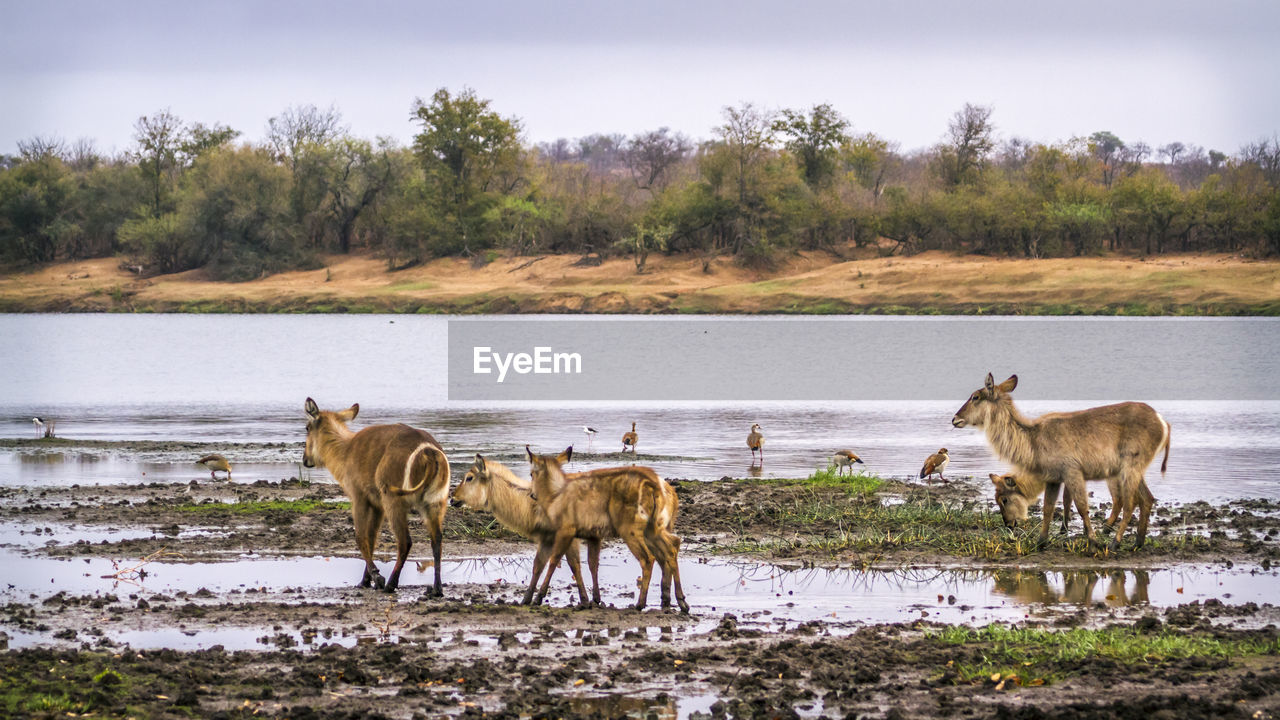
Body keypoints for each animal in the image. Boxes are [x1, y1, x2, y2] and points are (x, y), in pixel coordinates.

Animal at [302, 394, 453, 591]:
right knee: (437, 540)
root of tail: (429, 451)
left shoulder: (359, 497)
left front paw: (376, 577)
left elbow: (360, 537)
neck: (346, 450)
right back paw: (436, 590)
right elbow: (372, 538)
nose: (305, 459)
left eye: (307, 428)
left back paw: (390, 584)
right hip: (435, 503)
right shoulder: (377, 505)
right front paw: (365, 580)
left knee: (405, 541)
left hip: (394, 500)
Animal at [450, 453, 593, 604]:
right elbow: (539, 565)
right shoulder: (547, 538)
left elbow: (573, 564)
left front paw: (585, 600)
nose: (452, 499)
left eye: (469, 477)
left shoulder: (568, 537)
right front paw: (528, 599)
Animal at [524, 443, 691, 609]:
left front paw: (537, 598)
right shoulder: (593, 536)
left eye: (531, 474)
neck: (554, 495)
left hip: (631, 530)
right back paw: (678, 601)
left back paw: (640, 603)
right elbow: (592, 564)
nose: (532, 495)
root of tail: (654, 485)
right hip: (653, 529)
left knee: (648, 558)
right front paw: (595, 599)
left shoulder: (566, 530)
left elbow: (554, 561)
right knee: (672, 546)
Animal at [952, 371, 1172, 545]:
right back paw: (1137, 543)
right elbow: (1048, 508)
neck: (1033, 439)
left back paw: (1115, 543)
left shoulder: (1072, 472)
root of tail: (1162, 421)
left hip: (1128, 469)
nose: (955, 419)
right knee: (1147, 499)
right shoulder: (1053, 478)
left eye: (975, 397)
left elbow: (1081, 507)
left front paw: (1093, 543)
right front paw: (1041, 543)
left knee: (1130, 503)